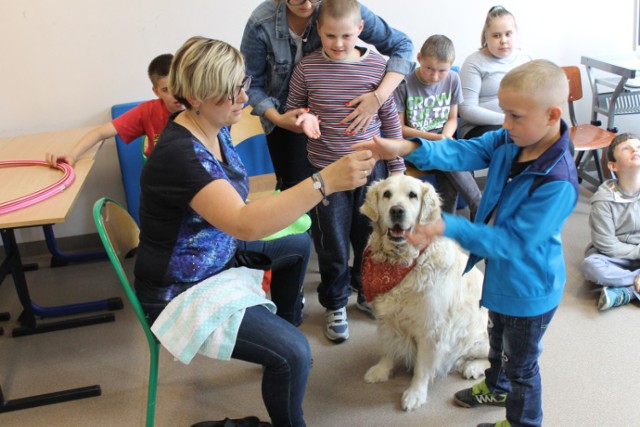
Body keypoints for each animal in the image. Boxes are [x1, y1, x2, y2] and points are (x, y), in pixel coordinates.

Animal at [360, 174, 490, 412]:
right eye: (387, 194)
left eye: (412, 195)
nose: (397, 211)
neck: (402, 262)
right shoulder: (387, 319)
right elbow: (388, 348)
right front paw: (382, 370)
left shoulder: (431, 330)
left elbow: (422, 367)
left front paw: (414, 394)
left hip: (478, 337)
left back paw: (472, 367)